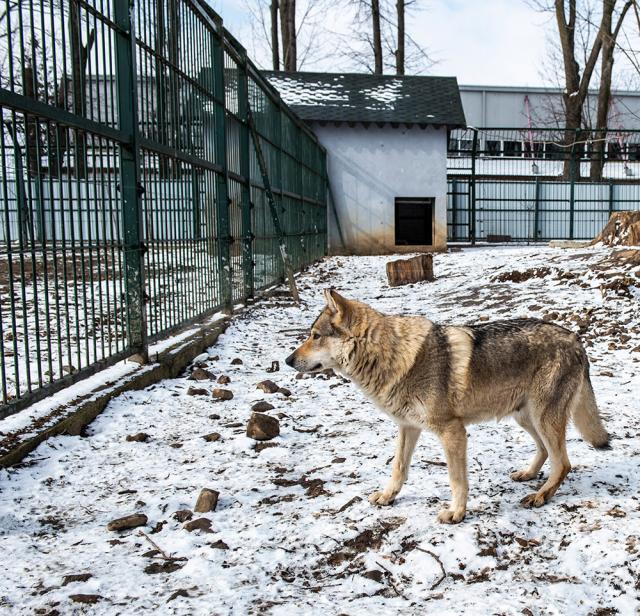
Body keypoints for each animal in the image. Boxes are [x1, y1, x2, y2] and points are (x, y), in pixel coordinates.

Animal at [284, 292, 608, 524]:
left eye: (315, 336)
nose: (287, 360)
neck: (393, 356)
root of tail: (576, 339)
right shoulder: (408, 427)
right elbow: (398, 467)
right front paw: (389, 497)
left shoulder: (453, 431)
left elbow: (456, 479)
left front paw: (456, 513)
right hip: (524, 417)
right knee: (545, 452)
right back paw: (527, 475)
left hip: (542, 417)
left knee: (563, 462)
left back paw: (540, 496)